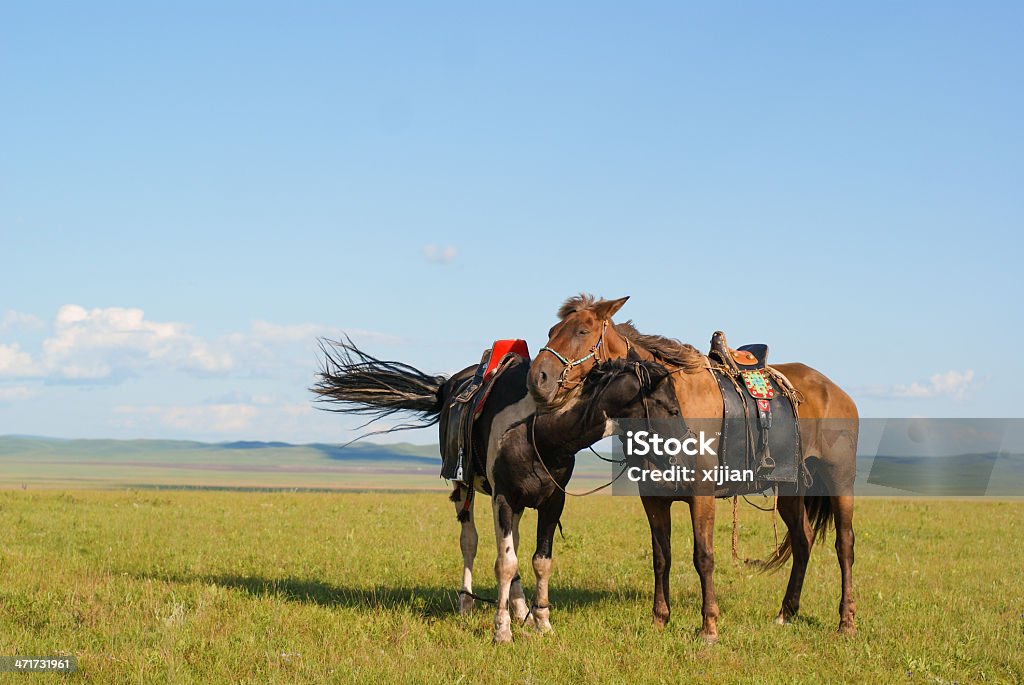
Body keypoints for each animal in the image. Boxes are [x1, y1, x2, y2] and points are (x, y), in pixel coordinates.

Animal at [311, 335, 679, 643]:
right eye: (672, 408)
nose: (681, 450)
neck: (538, 431)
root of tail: (447, 387)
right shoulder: (502, 498)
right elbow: (504, 563)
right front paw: (502, 631)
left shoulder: (552, 502)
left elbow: (538, 561)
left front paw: (542, 623)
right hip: (465, 488)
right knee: (470, 542)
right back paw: (467, 604)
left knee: (511, 547)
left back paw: (521, 611)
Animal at [524, 294, 860, 643]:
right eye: (552, 331)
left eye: (582, 330)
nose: (538, 379)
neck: (675, 400)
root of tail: (835, 392)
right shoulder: (653, 497)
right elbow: (661, 557)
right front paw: (659, 619)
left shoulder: (702, 495)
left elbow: (704, 557)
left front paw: (709, 626)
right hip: (792, 487)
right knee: (803, 539)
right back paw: (786, 613)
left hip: (839, 481)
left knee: (844, 545)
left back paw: (846, 622)